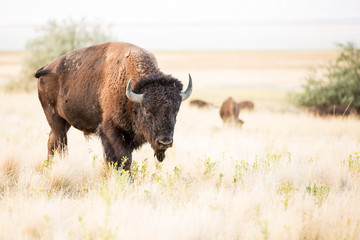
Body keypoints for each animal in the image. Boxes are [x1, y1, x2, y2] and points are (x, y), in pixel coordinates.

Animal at [35, 42, 193, 172]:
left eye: (176, 110)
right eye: (147, 110)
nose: (164, 142)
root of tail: (46, 68)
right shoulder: (111, 131)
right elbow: (123, 159)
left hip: (64, 121)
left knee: (52, 142)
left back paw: (48, 168)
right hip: (55, 118)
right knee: (61, 145)